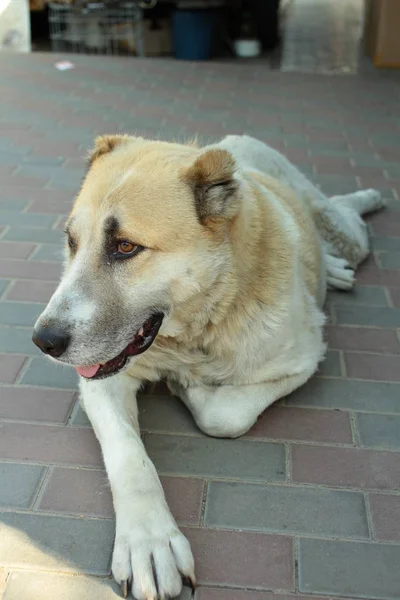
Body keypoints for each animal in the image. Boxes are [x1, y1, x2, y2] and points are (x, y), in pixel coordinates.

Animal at [32, 134, 384, 596]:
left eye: (125, 247)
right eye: (71, 242)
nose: (43, 340)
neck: (192, 330)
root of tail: (240, 140)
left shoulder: (306, 358)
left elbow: (225, 415)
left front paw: (188, 387)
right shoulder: (102, 379)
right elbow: (130, 457)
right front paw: (149, 541)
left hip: (343, 231)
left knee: (346, 213)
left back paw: (368, 204)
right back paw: (336, 268)